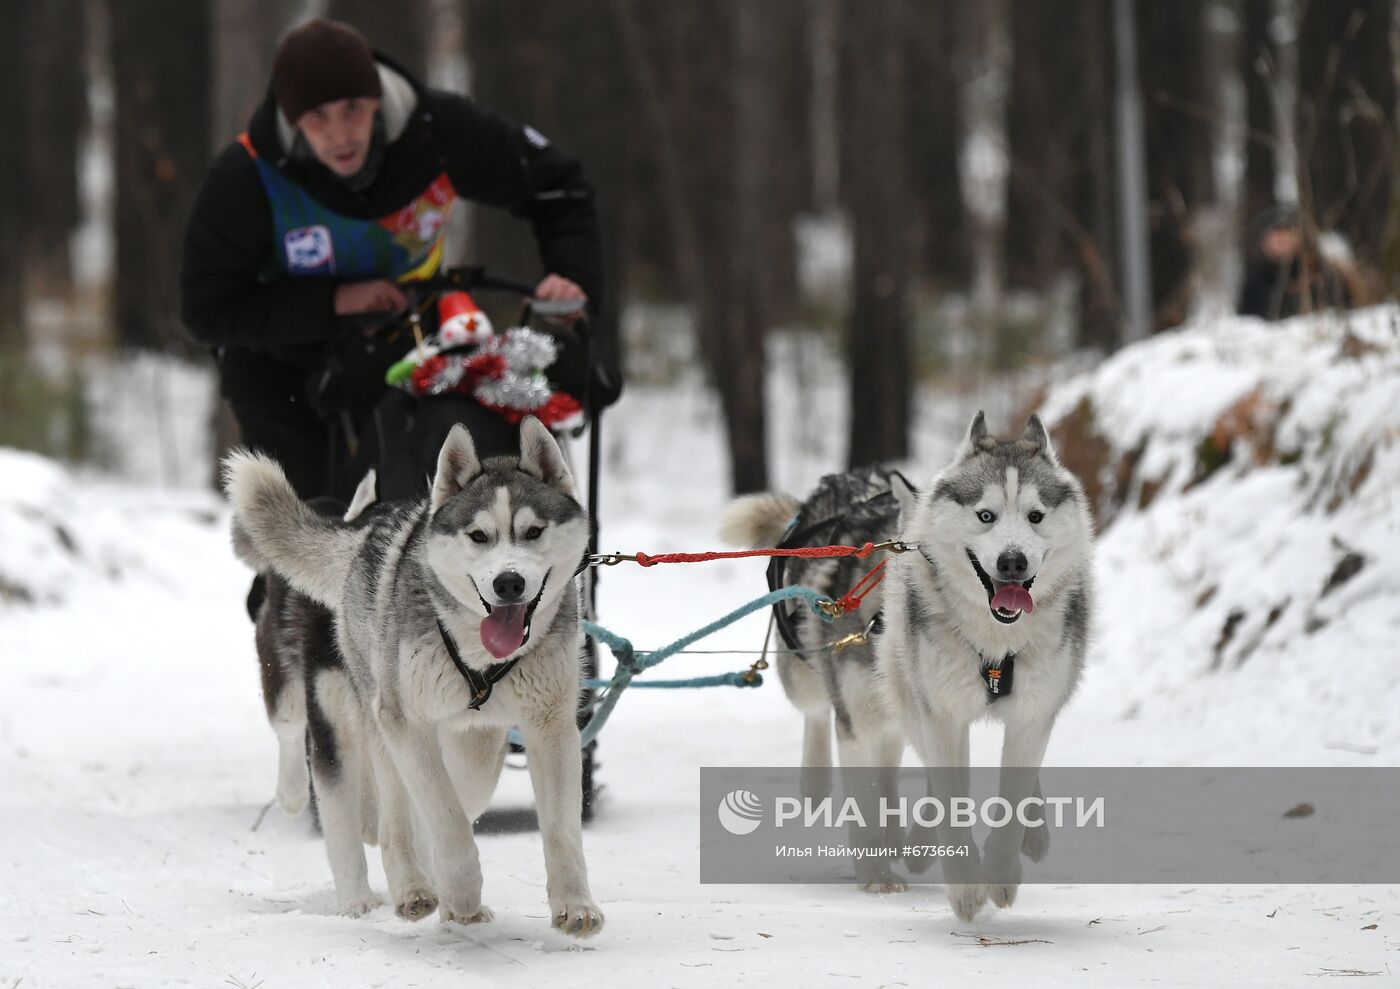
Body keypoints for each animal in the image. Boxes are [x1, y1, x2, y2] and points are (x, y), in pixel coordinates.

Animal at [224, 414, 602, 930]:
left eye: (534, 532)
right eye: (478, 536)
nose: (509, 582)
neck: (480, 658)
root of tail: (363, 528)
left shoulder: (552, 726)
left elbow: (560, 827)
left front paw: (576, 906)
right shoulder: (405, 722)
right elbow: (443, 816)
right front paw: (459, 891)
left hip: (471, 741)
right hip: (354, 707)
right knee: (369, 798)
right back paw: (392, 879)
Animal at [722, 409, 1092, 918]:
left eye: (1036, 516)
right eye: (986, 516)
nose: (1013, 562)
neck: (995, 644)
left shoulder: (1030, 714)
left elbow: (1010, 797)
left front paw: (1000, 867)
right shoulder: (918, 713)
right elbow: (893, 799)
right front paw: (897, 875)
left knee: (895, 756)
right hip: (818, 678)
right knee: (820, 715)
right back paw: (821, 784)